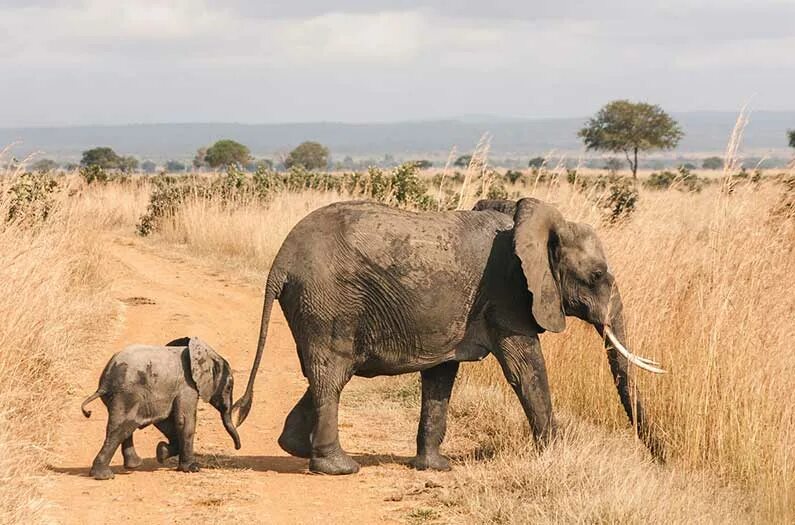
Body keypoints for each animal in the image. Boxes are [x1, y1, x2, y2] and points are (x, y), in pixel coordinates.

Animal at [83, 336, 243, 478]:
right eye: (229, 387)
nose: (237, 447)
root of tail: (105, 381)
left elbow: (165, 420)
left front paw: (161, 452)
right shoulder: (187, 386)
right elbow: (184, 420)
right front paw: (192, 468)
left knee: (127, 426)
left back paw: (134, 465)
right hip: (128, 393)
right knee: (122, 427)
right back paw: (104, 476)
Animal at [235, 198, 664, 474]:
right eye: (596, 276)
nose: (662, 459)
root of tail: (280, 263)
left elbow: (441, 376)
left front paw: (436, 468)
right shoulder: (509, 295)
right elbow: (525, 369)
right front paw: (558, 456)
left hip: (317, 305)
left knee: (326, 373)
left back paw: (294, 448)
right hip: (327, 301)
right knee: (333, 374)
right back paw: (338, 468)